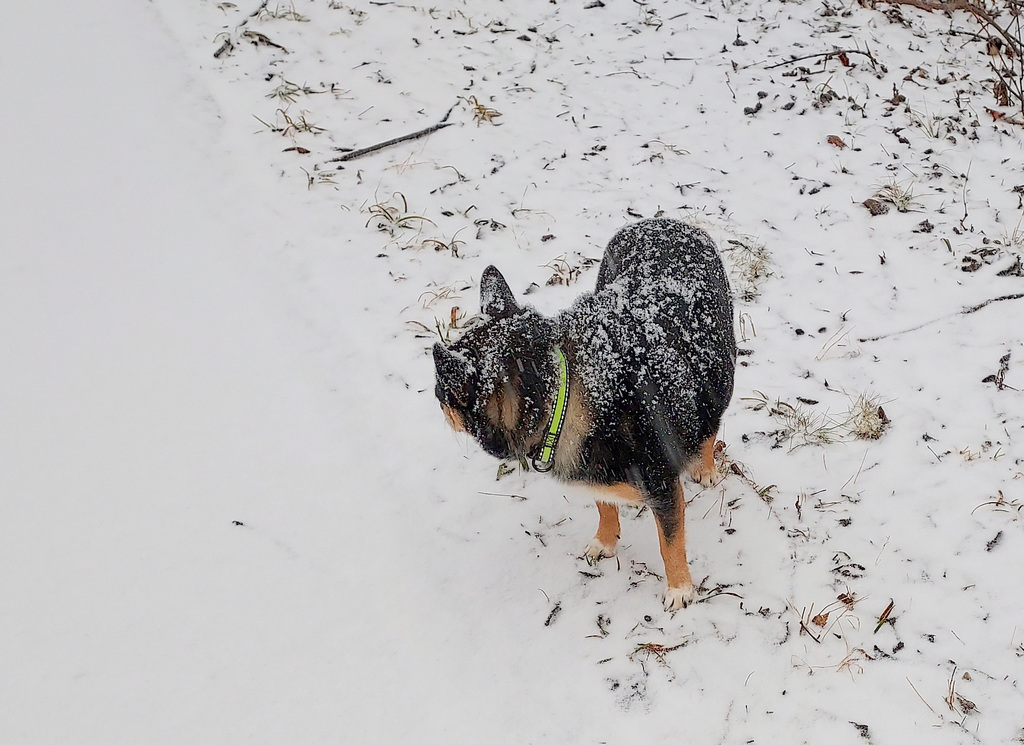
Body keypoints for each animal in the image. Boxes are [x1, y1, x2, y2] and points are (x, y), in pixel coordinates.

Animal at [432, 216, 737, 609]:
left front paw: (679, 588)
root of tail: (663, 221)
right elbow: (604, 504)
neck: (561, 390)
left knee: (711, 421)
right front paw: (605, 541)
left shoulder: (663, 485)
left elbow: (670, 542)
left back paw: (705, 464)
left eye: (441, 393)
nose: (439, 405)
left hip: (718, 370)